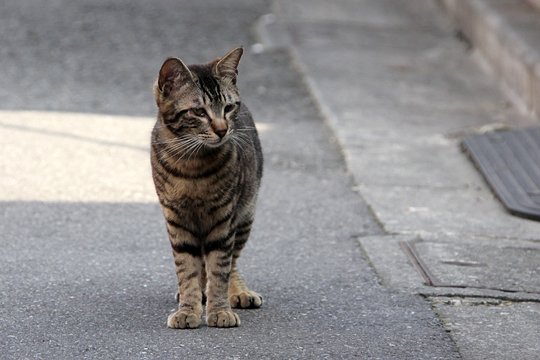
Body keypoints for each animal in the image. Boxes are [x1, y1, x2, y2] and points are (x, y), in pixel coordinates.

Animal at [150, 47, 264, 330]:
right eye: (199, 112)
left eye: (228, 107)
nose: (222, 130)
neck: (192, 167)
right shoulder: (177, 222)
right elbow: (187, 269)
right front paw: (188, 309)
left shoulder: (224, 221)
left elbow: (220, 268)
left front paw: (220, 310)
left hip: (245, 214)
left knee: (232, 261)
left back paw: (239, 292)